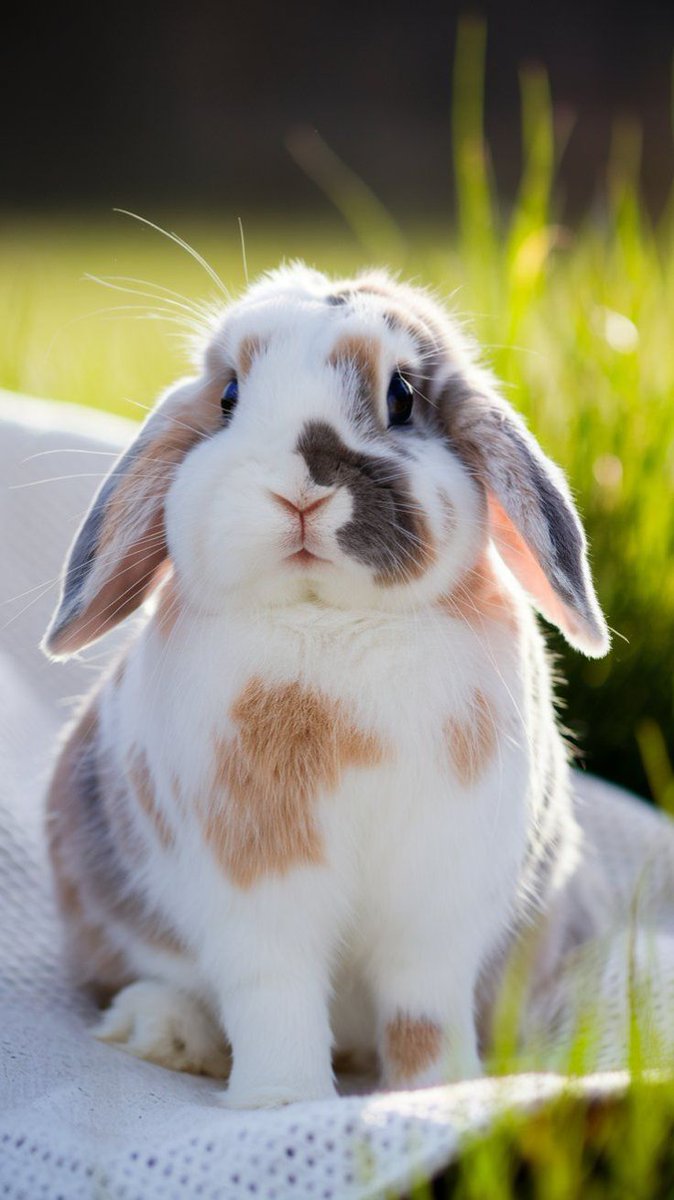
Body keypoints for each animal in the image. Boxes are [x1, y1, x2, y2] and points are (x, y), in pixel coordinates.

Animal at [42, 263, 609, 1108]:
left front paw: (433, 1093)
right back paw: (167, 1032)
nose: (301, 490)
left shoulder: (439, 900)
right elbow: (273, 994)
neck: (330, 624)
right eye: (230, 396)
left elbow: (423, 1006)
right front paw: (280, 1102)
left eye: (401, 395)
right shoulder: (256, 889)